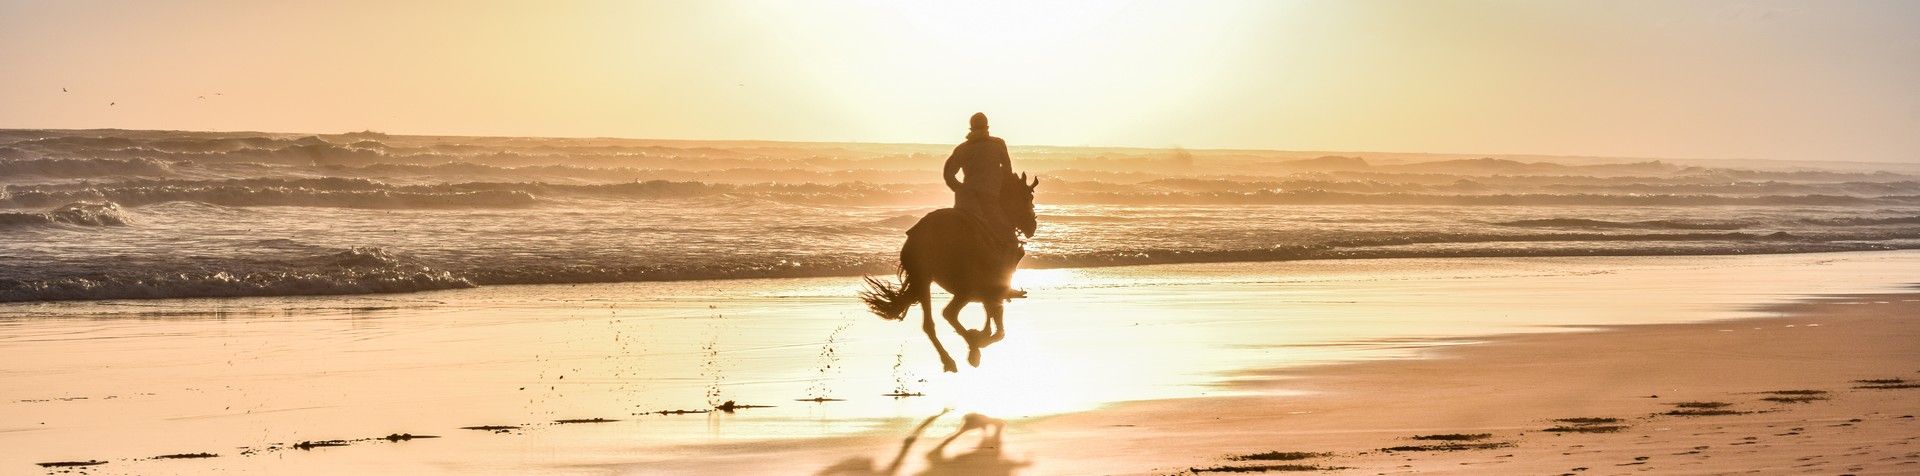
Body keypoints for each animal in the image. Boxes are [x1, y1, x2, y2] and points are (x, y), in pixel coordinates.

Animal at [867, 170, 1044, 372]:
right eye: (1028, 197)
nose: (1032, 226)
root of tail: (927, 233)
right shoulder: (993, 290)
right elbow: (999, 329)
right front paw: (980, 338)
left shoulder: (988, 294)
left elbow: (992, 320)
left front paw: (981, 334)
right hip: (964, 288)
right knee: (949, 314)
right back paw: (972, 348)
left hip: (924, 279)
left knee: (930, 324)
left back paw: (951, 357)